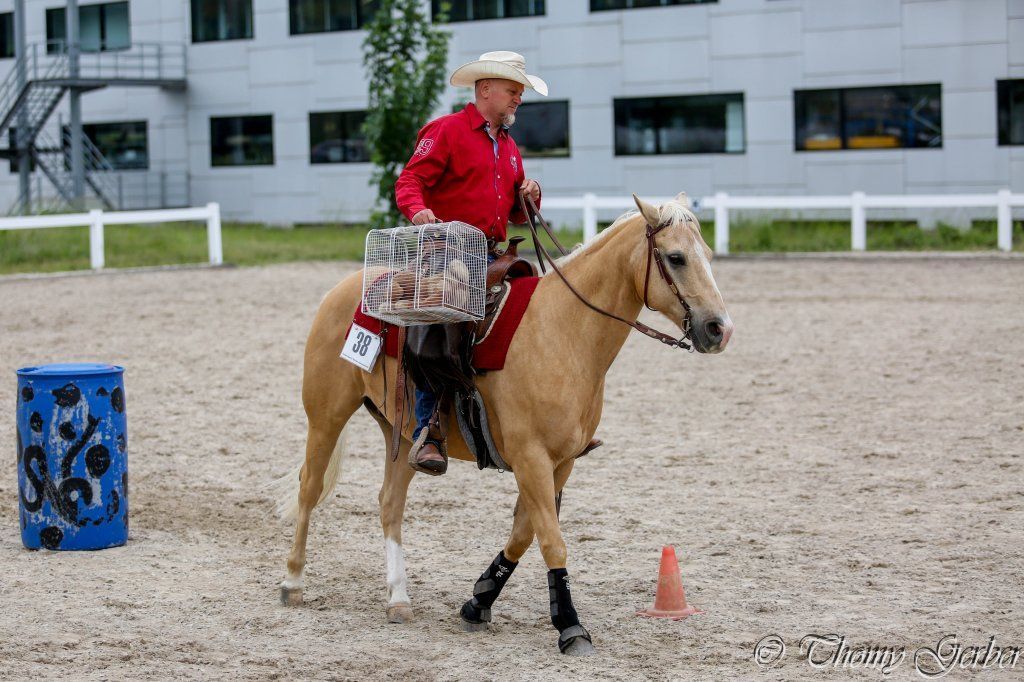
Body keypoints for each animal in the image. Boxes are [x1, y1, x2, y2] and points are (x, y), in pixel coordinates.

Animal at [276, 193, 733, 655]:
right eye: (675, 257)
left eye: (709, 255)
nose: (720, 330)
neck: (564, 332)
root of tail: (347, 289)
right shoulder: (531, 459)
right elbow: (551, 540)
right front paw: (570, 626)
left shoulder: (560, 463)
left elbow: (524, 534)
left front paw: (478, 602)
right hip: (326, 416)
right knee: (309, 488)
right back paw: (293, 582)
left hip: (401, 435)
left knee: (390, 504)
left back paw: (398, 598)